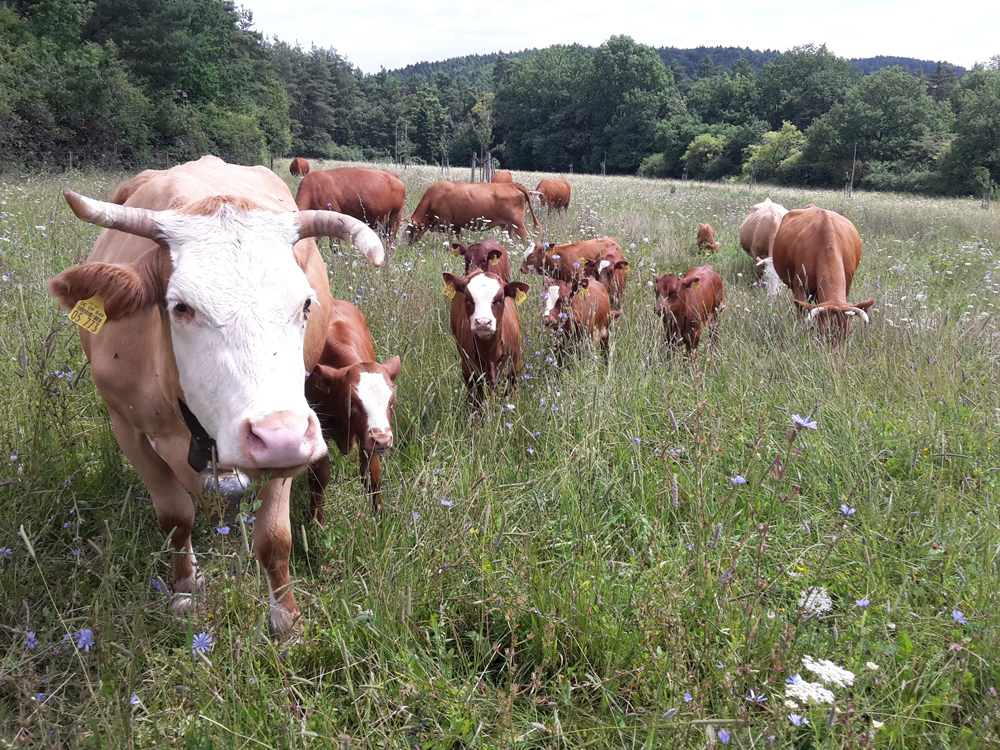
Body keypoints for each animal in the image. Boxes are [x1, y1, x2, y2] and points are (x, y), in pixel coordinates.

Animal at [47, 156, 384, 636]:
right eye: (181, 307)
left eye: (305, 304)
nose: (279, 437)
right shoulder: (127, 429)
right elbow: (175, 517)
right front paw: (184, 589)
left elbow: (275, 537)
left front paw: (287, 619)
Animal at [406, 182, 544, 244]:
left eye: (411, 229)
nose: (407, 244)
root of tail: (512, 184)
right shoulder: (456, 226)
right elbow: (459, 239)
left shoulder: (447, 223)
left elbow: (450, 240)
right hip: (509, 227)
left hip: (518, 225)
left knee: (528, 238)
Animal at [440, 270, 528, 406]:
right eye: (468, 298)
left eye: (500, 299)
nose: (483, 322)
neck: (489, 354)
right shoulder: (469, 371)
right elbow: (476, 402)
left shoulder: (515, 367)